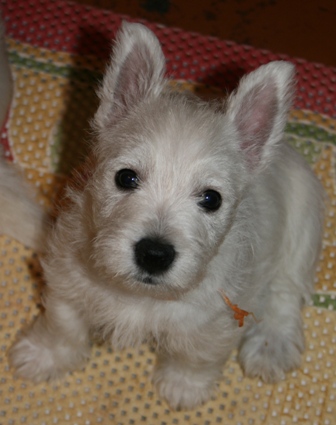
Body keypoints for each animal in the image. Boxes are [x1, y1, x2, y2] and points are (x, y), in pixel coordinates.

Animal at [1, 21, 324, 410]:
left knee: (285, 292)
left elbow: (196, 356)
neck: (141, 295)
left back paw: (271, 346)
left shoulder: (210, 321)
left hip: (303, 226)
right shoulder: (68, 280)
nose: (154, 255)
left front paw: (183, 388)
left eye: (211, 199)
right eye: (126, 177)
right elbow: (63, 325)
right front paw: (42, 357)